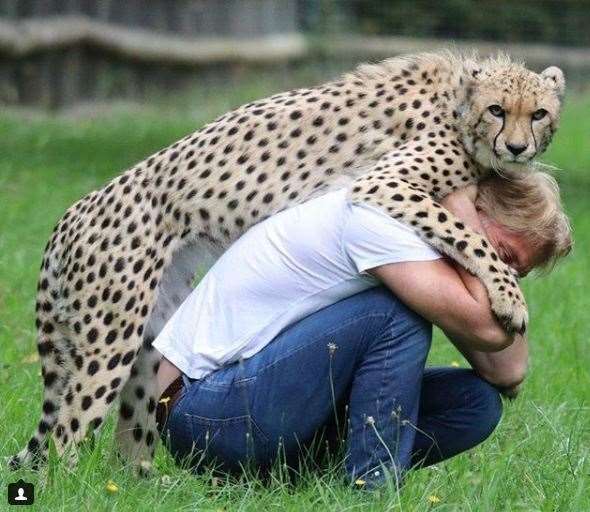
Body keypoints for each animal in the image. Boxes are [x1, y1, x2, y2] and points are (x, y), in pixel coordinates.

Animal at [9, 51, 564, 472]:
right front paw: (510, 299)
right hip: (109, 342)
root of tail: (70, 213)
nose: (518, 148)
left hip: (146, 342)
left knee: (131, 429)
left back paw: (142, 486)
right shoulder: (383, 184)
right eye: (498, 110)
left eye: (538, 114)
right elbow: (468, 234)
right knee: (65, 435)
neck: (460, 106)